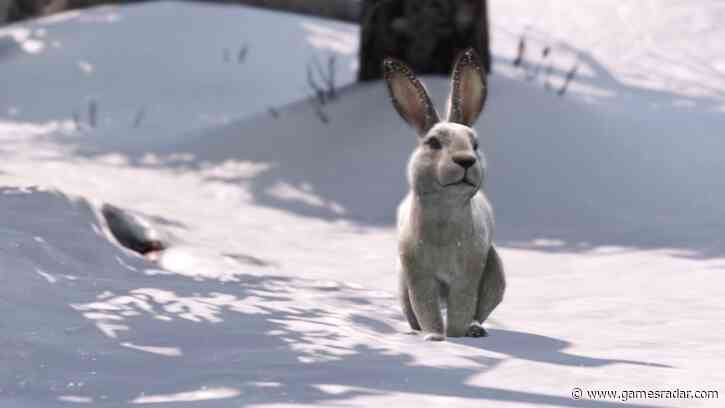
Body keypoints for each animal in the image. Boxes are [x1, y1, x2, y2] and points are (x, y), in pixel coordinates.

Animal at [382, 48, 505, 341]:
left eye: (475, 144)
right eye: (434, 143)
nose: (466, 160)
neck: (443, 215)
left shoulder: (467, 274)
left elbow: (461, 308)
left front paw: (456, 337)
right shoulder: (418, 274)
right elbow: (426, 309)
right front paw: (435, 338)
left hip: (495, 273)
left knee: (480, 310)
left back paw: (475, 331)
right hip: (401, 283)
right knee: (412, 313)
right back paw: (414, 333)